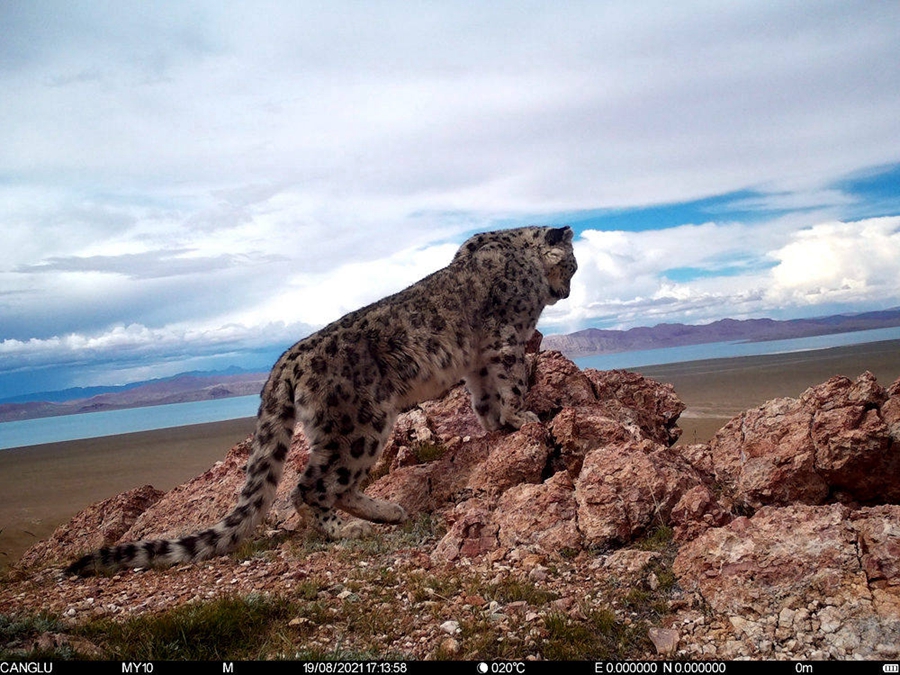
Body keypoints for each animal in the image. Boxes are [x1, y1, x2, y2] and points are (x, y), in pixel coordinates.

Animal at [67, 226, 580, 576]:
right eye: (572, 266)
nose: (566, 292)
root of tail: (285, 360)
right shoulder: (506, 335)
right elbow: (511, 378)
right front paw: (523, 415)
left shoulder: (477, 359)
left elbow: (484, 393)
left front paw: (496, 422)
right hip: (359, 423)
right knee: (308, 488)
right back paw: (354, 529)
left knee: (336, 485)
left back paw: (387, 511)